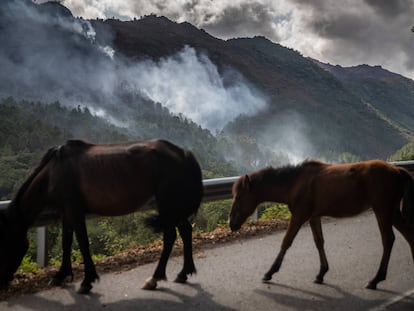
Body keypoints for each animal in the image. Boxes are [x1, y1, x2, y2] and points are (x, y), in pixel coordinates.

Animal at [0, 140, 202, 294]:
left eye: (7, 244)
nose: (3, 282)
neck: (53, 172)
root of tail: (183, 153)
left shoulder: (75, 211)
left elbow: (82, 243)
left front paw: (87, 281)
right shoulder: (66, 213)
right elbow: (66, 243)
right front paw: (61, 275)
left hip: (168, 204)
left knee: (171, 236)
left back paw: (155, 278)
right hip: (173, 207)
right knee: (184, 231)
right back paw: (183, 273)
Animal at [230, 161, 414, 290]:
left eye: (239, 197)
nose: (231, 223)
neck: (295, 183)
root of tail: (397, 170)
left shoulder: (299, 216)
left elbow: (286, 242)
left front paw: (270, 272)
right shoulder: (314, 217)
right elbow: (319, 242)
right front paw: (321, 273)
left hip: (382, 211)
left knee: (388, 240)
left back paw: (375, 279)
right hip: (392, 212)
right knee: (408, 235)